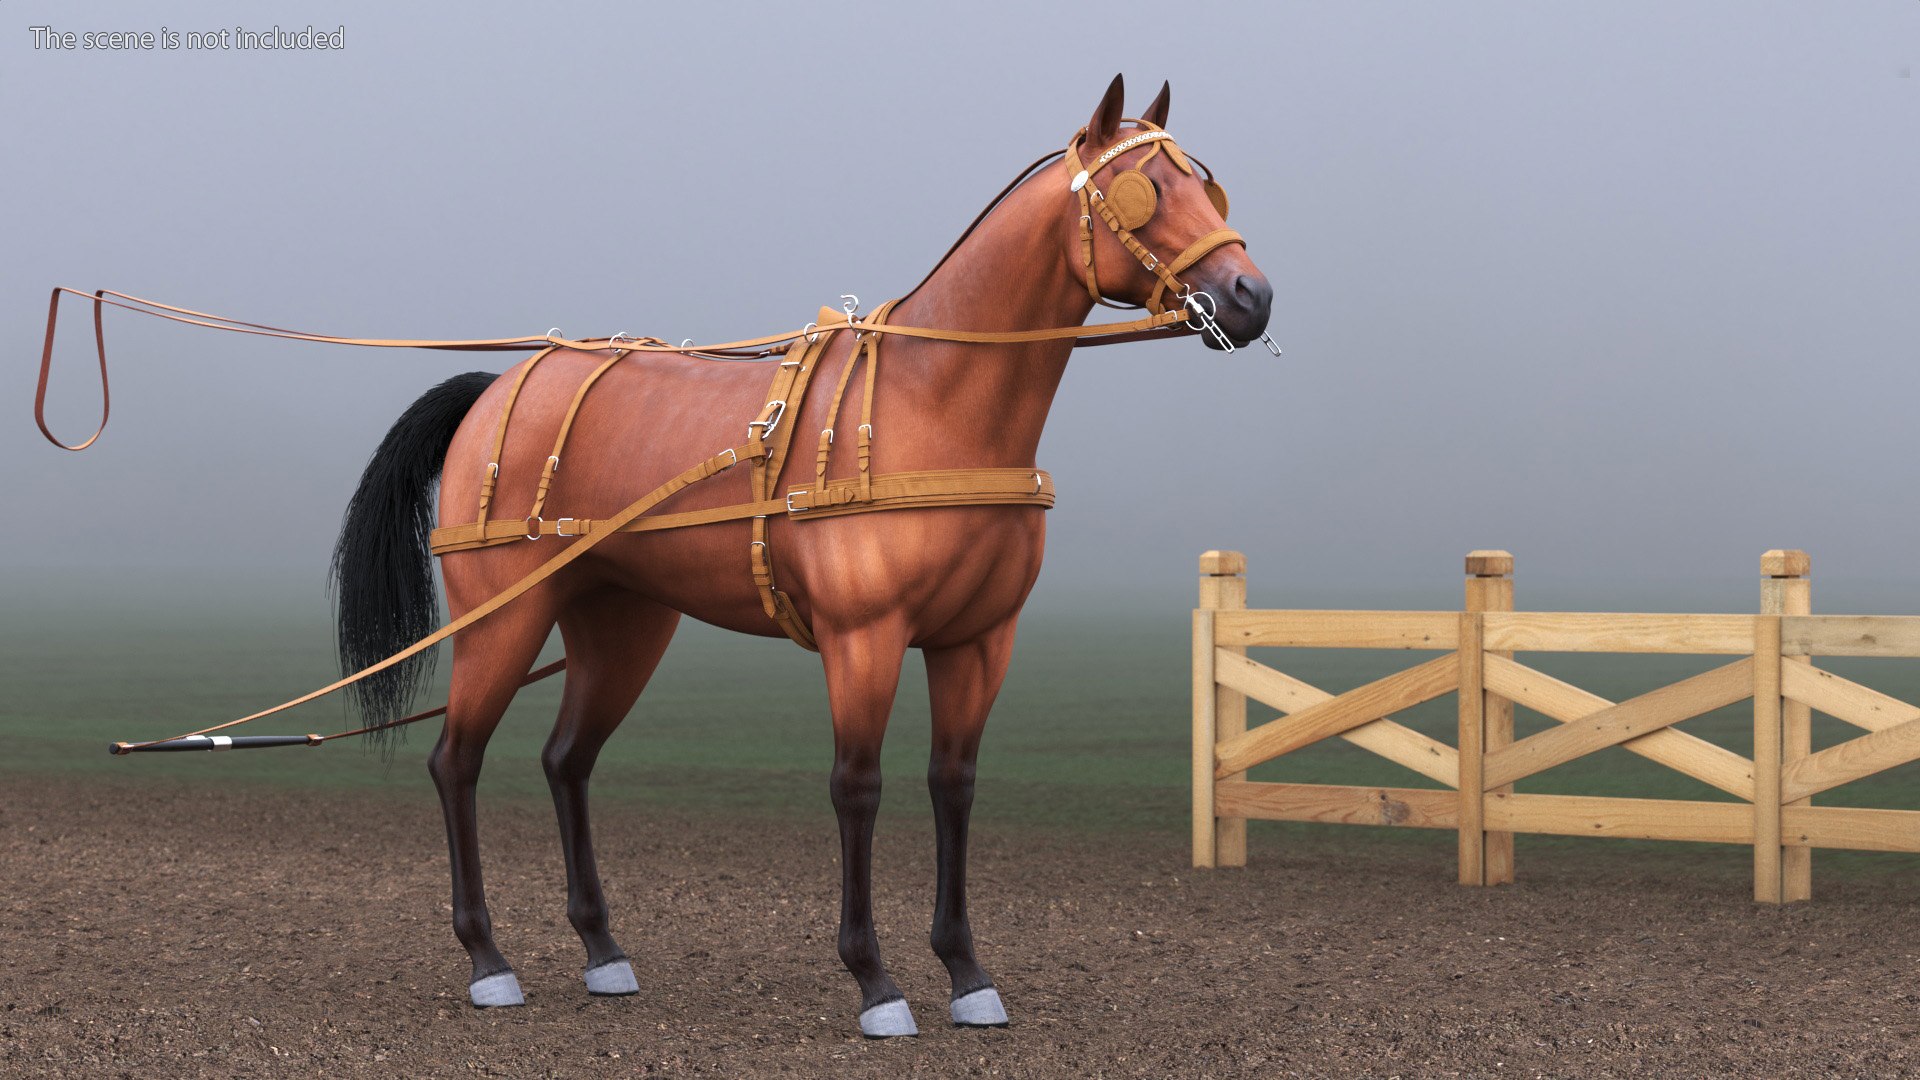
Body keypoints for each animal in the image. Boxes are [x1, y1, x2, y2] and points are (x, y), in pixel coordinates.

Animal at [328, 74, 1273, 1037]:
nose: (1250, 296)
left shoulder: (978, 641)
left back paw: (602, 950)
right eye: (1144, 190)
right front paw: (875, 981)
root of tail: (503, 384)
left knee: (568, 760)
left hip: (624, 625)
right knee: (457, 760)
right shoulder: (865, 637)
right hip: (506, 618)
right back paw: (488, 958)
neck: (933, 404)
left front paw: (966, 972)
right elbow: (857, 786)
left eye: (1209, 188)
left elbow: (953, 785)